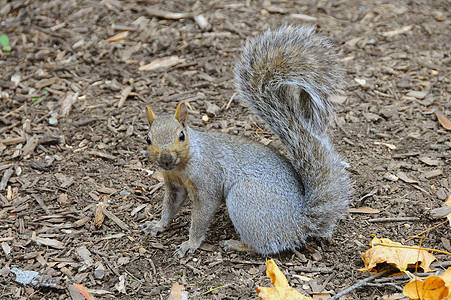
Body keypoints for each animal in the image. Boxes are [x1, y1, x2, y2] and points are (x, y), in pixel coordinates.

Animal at [141, 24, 354, 256]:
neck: (182, 165)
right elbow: (170, 206)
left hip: (244, 199)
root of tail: (298, 223)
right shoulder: (174, 185)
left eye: (181, 135)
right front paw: (158, 225)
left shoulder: (207, 183)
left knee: (263, 246)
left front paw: (191, 243)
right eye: (148, 139)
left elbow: (201, 215)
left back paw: (236, 244)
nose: (166, 159)